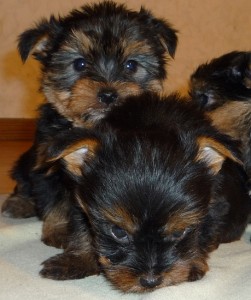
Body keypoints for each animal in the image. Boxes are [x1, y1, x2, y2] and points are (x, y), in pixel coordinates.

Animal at [2, 0, 178, 248]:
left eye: (131, 65)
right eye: (80, 64)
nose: (108, 94)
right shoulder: (49, 165)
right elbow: (53, 199)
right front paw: (60, 231)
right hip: (26, 160)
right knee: (24, 180)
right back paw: (19, 203)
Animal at [37, 92, 249, 292]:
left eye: (179, 232)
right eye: (118, 232)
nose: (151, 281)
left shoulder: (213, 203)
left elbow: (202, 233)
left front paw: (193, 263)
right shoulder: (80, 199)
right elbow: (82, 229)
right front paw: (77, 260)